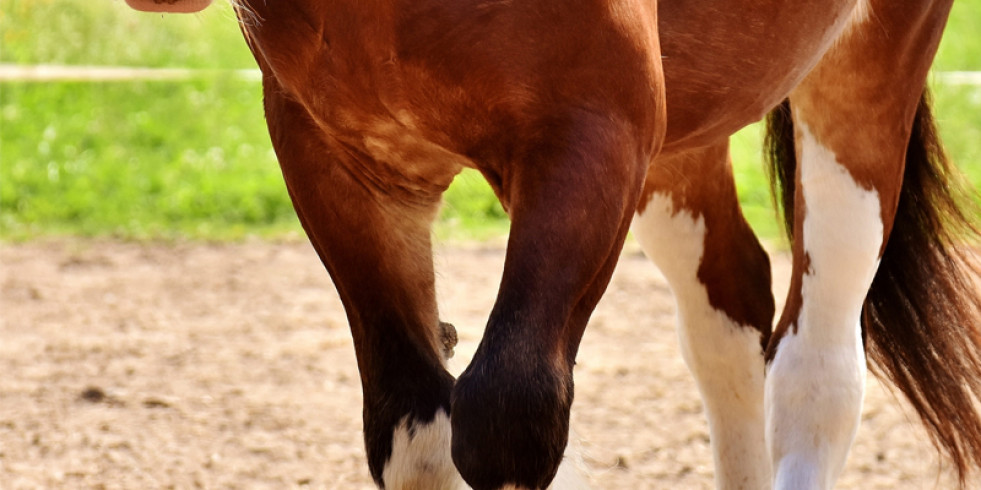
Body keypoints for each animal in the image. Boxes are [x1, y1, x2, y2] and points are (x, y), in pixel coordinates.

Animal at [126, 0, 980, 490]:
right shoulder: (342, 166)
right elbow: (413, 430)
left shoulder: (590, 139)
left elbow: (508, 416)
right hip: (682, 129)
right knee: (728, 307)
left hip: (863, 75)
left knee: (817, 367)